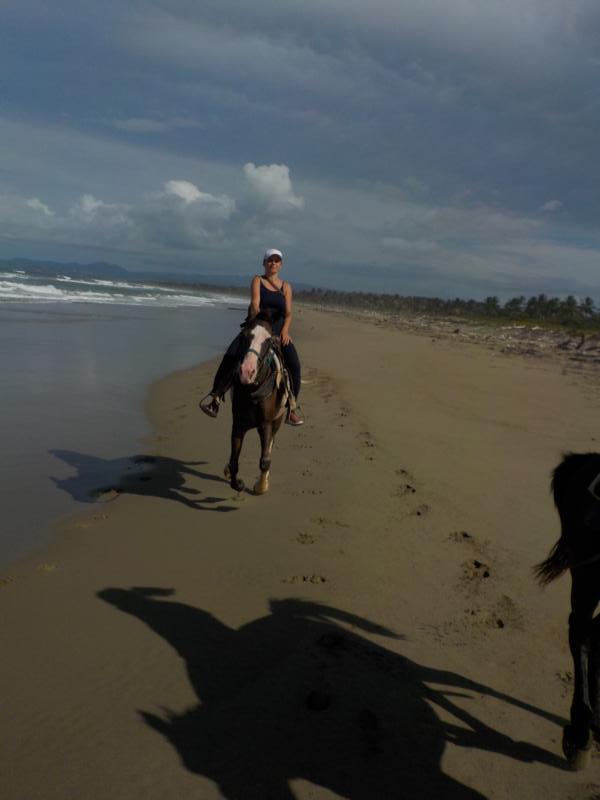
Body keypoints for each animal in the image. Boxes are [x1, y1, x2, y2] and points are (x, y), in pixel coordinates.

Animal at [224, 313, 289, 495]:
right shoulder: (238, 424)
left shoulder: (266, 424)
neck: (253, 389)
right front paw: (237, 483)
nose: (247, 372)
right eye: (244, 335)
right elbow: (234, 461)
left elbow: (265, 460)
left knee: (270, 446)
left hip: (277, 421)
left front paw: (260, 486)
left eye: (268, 341)